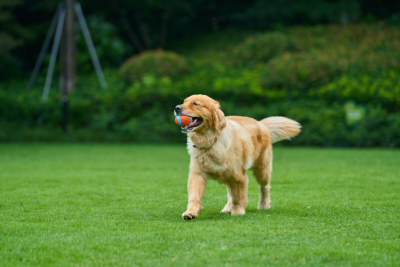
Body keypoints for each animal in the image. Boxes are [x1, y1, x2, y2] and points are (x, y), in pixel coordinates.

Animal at [173, 95, 302, 221]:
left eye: (196, 103)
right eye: (184, 102)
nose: (177, 108)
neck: (210, 141)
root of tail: (261, 124)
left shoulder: (239, 176)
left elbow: (238, 196)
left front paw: (238, 212)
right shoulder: (197, 174)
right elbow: (194, 196)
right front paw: (190, 212)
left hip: (261, 170)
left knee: (264, 187)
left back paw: (263, 205)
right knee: (231, 193)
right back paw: (227, 208)